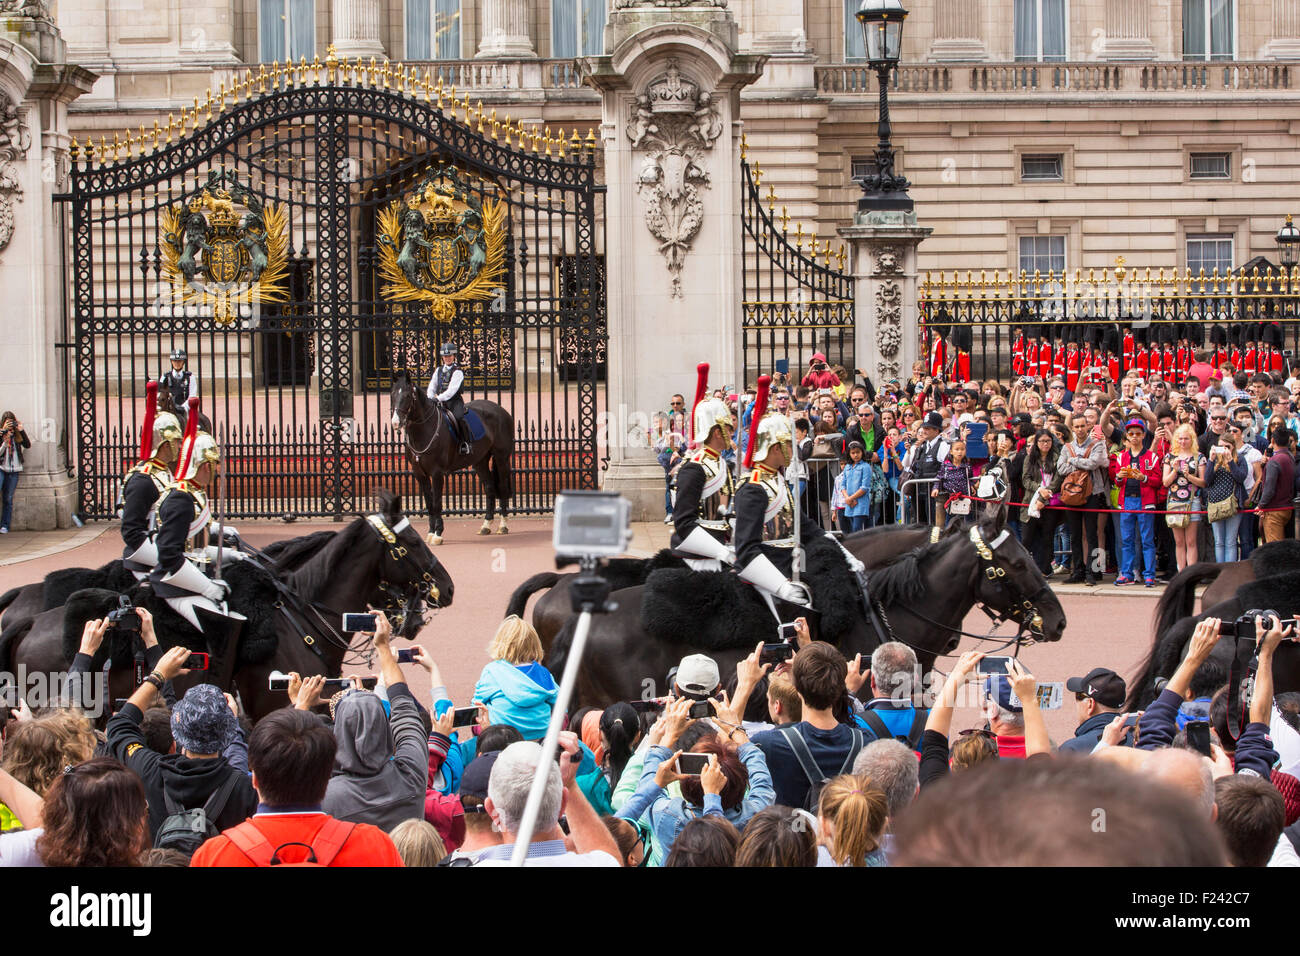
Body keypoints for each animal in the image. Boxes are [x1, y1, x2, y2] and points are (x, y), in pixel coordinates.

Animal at [384, 369, 512, 546]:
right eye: (392, 394)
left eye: (408, 395)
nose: (396, 422)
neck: (424, 430)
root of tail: (501, 410)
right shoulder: (420, 474)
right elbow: (429, 503)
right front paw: (430, 532)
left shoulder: (437, 473)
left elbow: (437, 503)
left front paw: (438, 534)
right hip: (480, 461)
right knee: (490, 487)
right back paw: (486, 525)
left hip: (501, 458)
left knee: (503, 487)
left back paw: (503, 525)